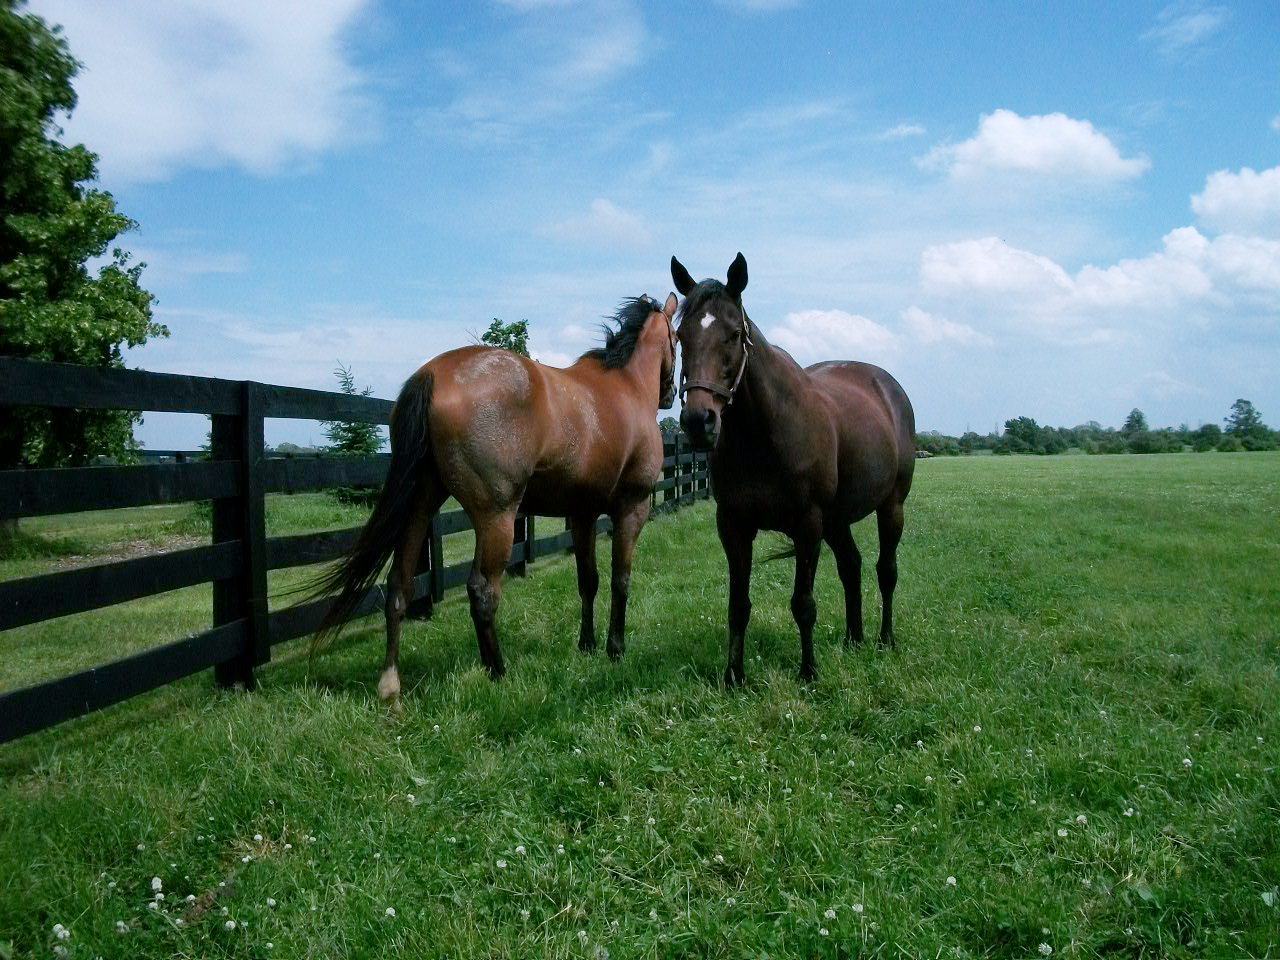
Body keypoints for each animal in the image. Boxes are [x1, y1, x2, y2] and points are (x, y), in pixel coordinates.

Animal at [312, 293, 679, 699]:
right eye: (676, 338)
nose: (670, 395)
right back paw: (497, 670)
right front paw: (615, 648)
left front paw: (587, 644)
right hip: (496, 517)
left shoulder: (582, 515)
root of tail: (433, 374)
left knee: (399, 585)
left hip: (419, 507)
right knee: (482, 590)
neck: (626, 385)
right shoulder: (632, 509)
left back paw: (391, 683)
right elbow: (620, 579)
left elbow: (588, 580)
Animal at [670, 254, 915, 686]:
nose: (699, 421)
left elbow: (803, 603)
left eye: (734, 333)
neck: (764, 435)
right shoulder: (734, 525)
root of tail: (888, 387)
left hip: (891, 507)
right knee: (851, 567)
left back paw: (884, 640)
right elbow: (738, 605)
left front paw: (809, 672)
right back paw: (854, 639)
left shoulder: (807, 525)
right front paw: (734, 676)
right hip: (837, 521)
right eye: (682, 335)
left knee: (886, 571)